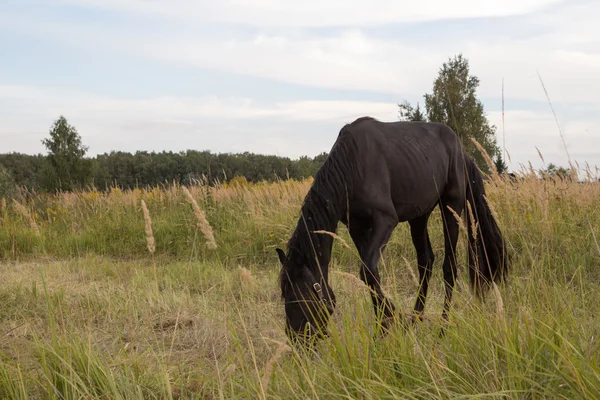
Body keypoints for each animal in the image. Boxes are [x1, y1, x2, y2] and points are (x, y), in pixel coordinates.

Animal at [276, 115, 506, 344]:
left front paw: (390, 320)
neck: (353, 164)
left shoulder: (385, 220)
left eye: (303, 297)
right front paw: (385, 325)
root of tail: (462, 152)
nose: (297, 340)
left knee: (449, 266)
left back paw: (442, 328)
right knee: (425, 262)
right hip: (419, 217)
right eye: (285, 296)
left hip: (452, 206)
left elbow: (368, 271)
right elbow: (370, 273)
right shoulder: (356, 226)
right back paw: (414, 320)